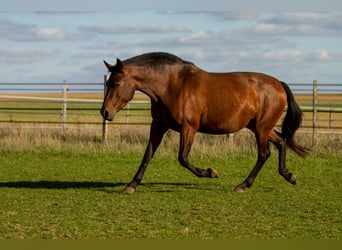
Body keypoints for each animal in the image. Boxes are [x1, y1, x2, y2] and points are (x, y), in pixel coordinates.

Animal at [100, 51, 308, 194]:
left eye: (116, 84)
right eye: (107, 83)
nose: (105, 112)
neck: (172, 86)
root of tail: (279, 84)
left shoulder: (189, 128)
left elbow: (183, 158)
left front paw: (210, 172)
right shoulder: (158, 125)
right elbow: (148, 155)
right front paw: (131, 185)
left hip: (261, 128)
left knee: (264, 154)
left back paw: (243, 185)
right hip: (260, 127)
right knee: (281, 142)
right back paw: (289, 175)